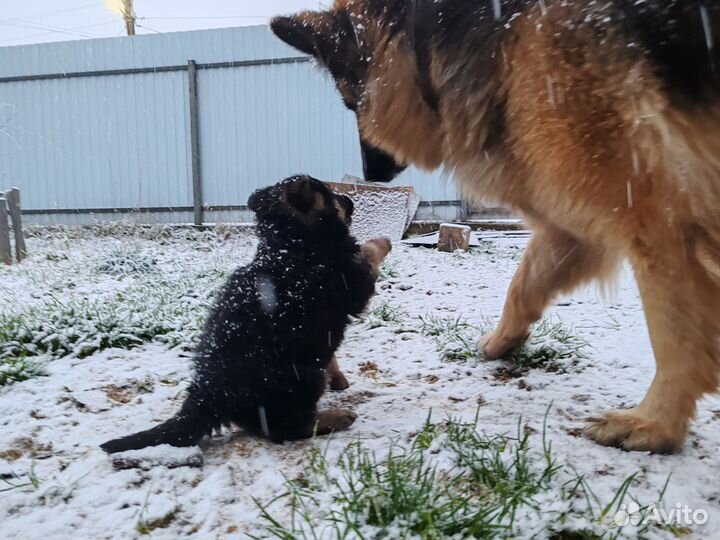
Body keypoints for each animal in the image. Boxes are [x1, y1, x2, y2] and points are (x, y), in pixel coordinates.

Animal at [101, 174, 388, 452]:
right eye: (331, 195)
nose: (350, 201)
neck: (290, 246)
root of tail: (206, 395)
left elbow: (331, 355)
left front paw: (338, 377)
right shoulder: (354, 282)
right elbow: (368, 251)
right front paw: (384, 241)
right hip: (303, 379)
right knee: (286, 428)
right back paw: (335, 418)